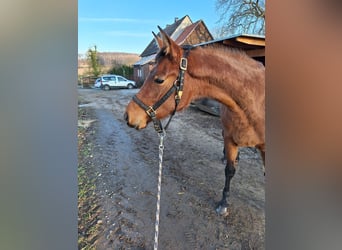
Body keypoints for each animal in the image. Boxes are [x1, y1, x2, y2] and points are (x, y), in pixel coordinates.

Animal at [124, 26, 266, 215]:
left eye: (159, 80)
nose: (128, 115)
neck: (254, 100)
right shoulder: (230, 140)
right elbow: (229, 170)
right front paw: (224, 203)